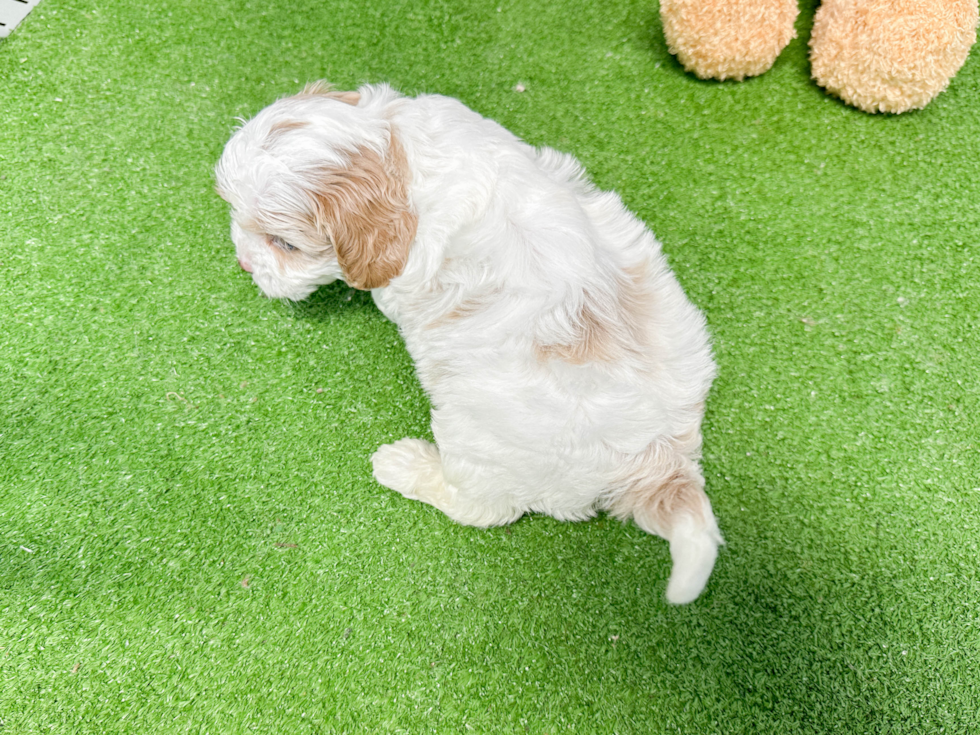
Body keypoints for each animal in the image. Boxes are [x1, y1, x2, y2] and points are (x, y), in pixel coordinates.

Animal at [218, 82, 724, 604]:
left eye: (285, 245)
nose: (243, 263)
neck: (397, 151)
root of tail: (657, 452)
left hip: (475, 438)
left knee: (482, 509)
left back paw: (405, 465)